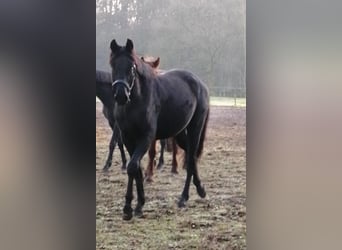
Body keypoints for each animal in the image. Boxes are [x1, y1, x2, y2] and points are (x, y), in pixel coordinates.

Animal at [109, 38, 210, 220]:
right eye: (113, 64)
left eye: (132, 67)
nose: (121, 95)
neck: (136, 101)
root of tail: (199, 83)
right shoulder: (128, 138)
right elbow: (136, 168)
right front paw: (139, 205)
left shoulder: (146, 137)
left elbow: (132, 167)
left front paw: (128, 207)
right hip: (180, 134)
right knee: (190, 156)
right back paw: (199, 189)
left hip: (195, 129)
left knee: (192, 158)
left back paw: (185, 197)